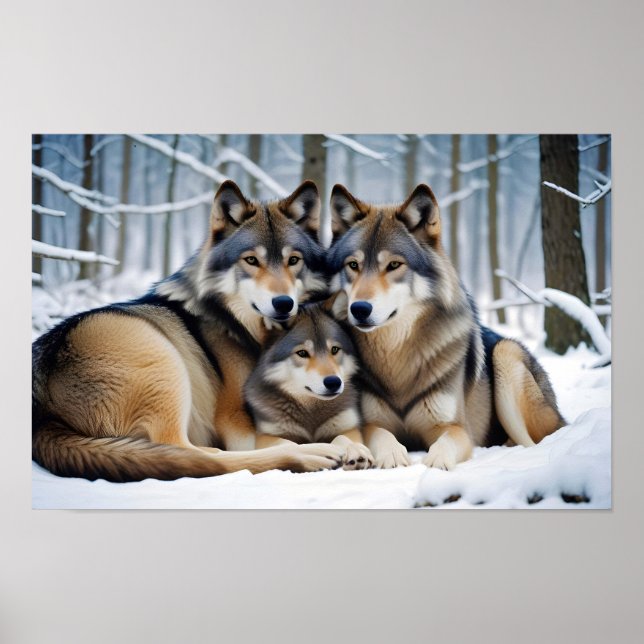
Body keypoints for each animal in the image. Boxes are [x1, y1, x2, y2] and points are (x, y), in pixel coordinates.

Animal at [32, 180, 346, 482]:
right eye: (251, 260)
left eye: (293, 260)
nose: (283, 303)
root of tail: (42, 415)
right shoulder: (234, 419)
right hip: (162, 357)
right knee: (193, 455)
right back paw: (311, 455)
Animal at [244, 301, 373, 470]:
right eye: (302, 353)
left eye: (334, 349)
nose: (334, 382)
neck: (311, 410)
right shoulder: (266, 436)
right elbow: (288, 445)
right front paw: (316, 451)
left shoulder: (349, 427)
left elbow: (342, 437)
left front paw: (354, 449)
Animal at [326, 183, 566, 470]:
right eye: (353, 265)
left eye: (394, 265)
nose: (359, 309)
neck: (397, 359)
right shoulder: (371, 422)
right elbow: (382, 435)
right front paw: (393, 456)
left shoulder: (455, 427)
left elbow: (444, 445)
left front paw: (435, 463)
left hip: (506, 354)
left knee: (532, 442)